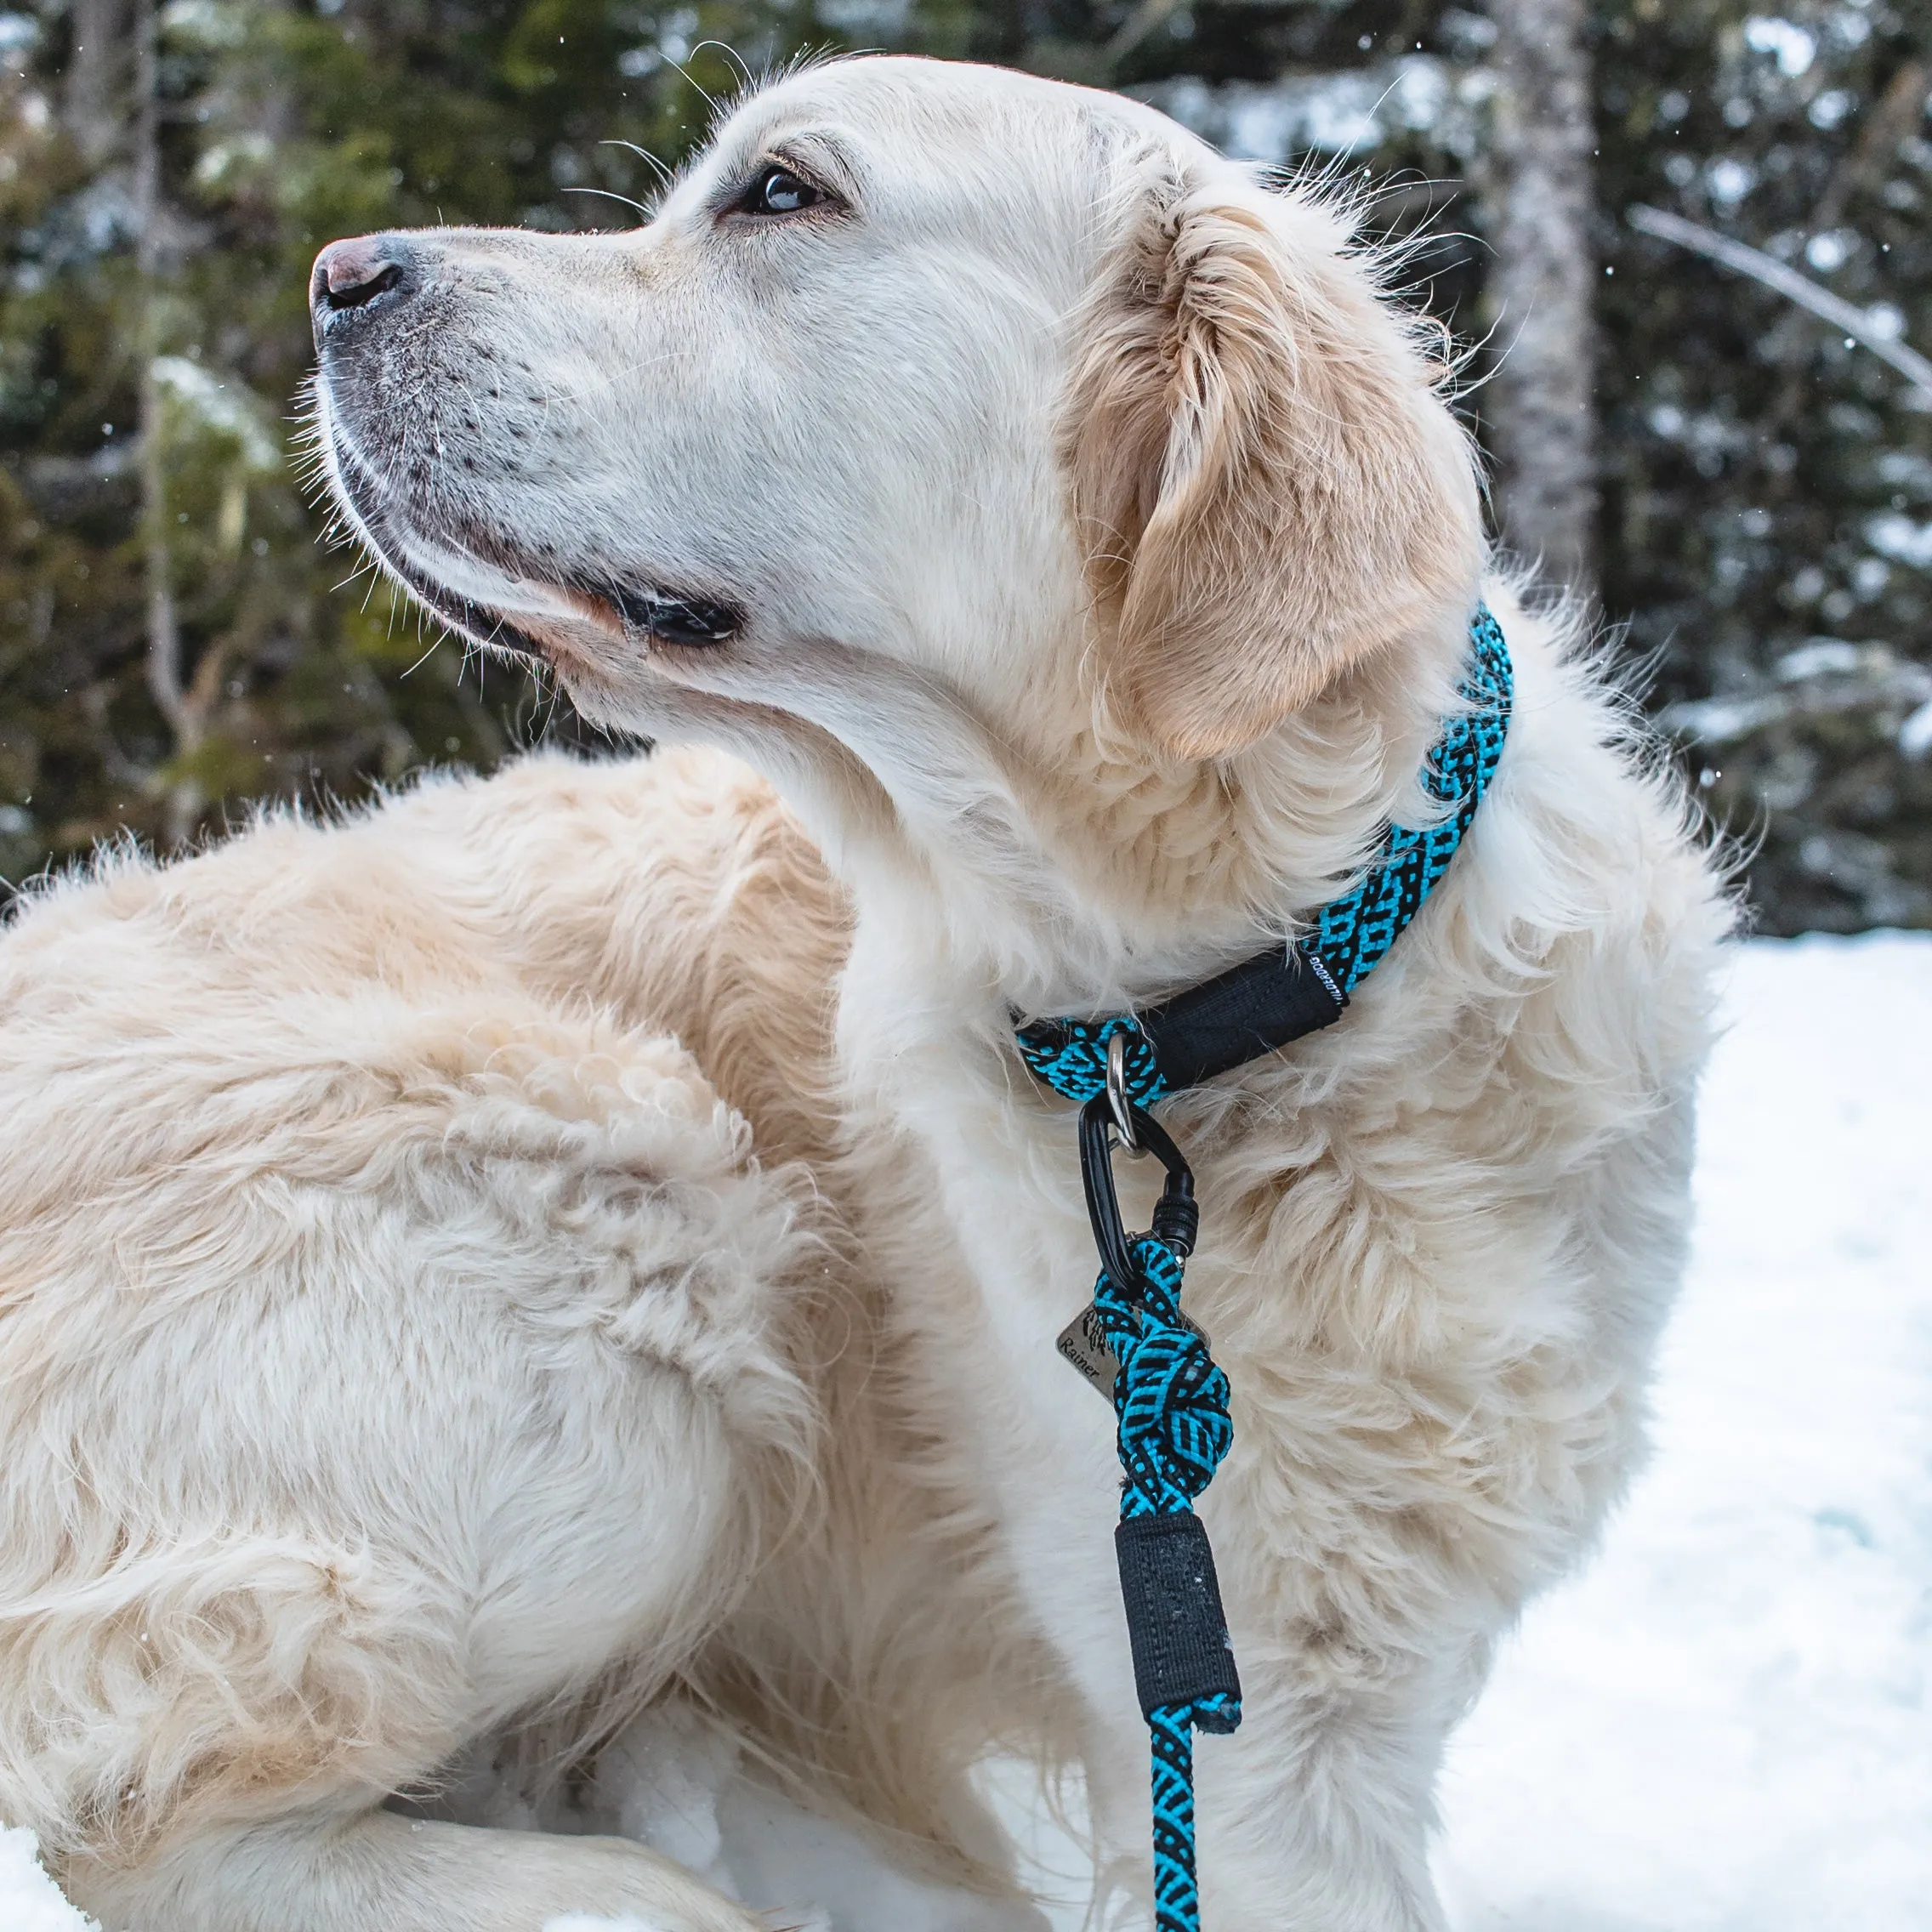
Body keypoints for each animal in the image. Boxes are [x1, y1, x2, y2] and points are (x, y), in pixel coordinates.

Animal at [3, 53, 1723, 1932]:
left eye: (780, 195)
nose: (334, 278)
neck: (1232, 999)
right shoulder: (1241, 1699)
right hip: (626, 1194)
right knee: (149, 1826)